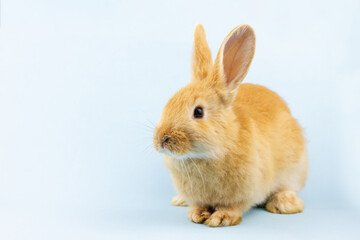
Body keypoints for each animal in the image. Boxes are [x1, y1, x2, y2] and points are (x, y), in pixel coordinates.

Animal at [152, 23, 306, 227]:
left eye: (198, 112)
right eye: (169, 102)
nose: (161, 140)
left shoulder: (247, 191)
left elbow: (234, 206)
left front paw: (221, 218)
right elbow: (198, 204)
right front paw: (196, 214)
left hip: (294, 169)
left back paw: (285, 203)